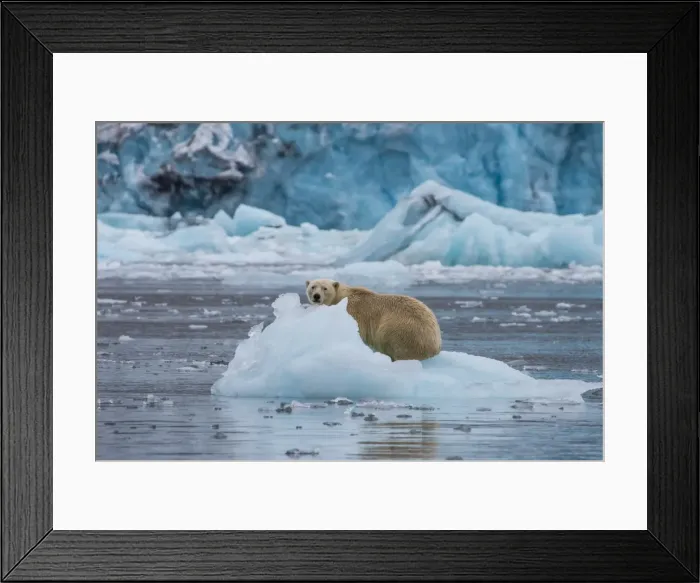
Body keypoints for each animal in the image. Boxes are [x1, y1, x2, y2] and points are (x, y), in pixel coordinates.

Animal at [305, 279, 441, 362]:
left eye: (324, 288)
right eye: (312, 287)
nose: (316, 296)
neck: (343, 296)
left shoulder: (354, 310)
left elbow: (358, 330)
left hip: (401, 330)